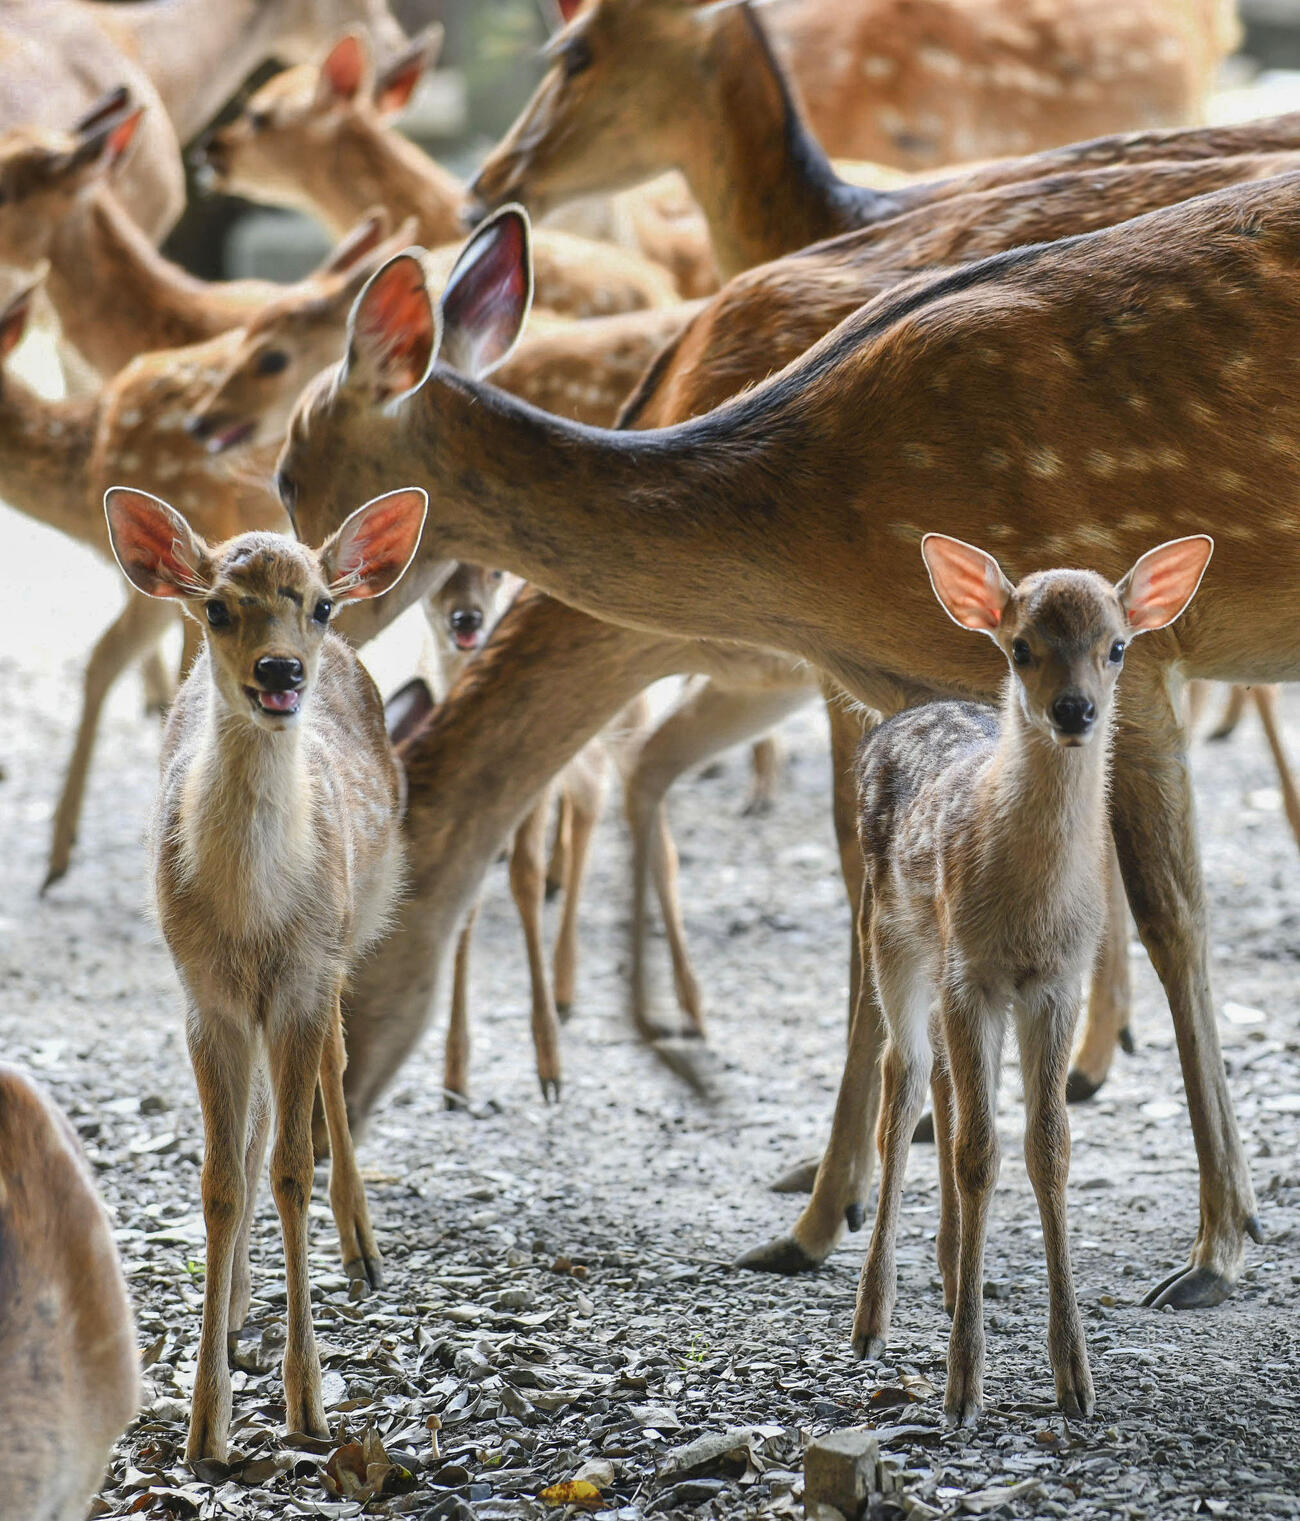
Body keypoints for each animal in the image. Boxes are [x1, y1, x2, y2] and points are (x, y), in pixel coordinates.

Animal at [103, 483, 426, 1462]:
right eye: (215, 607)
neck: (252, 917)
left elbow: (290, 1168)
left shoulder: (303, 975)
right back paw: (245, 1300)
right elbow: (219, 1179)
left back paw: (362, 1249)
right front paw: (204, 1425)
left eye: (316, 605)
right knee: (248, 1133)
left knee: (332, 1067)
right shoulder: (203, 995)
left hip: (356, 924)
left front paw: (308, 1405)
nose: (280, 670)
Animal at [277, 179, 1300, 1324]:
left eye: (288, 470)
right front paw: (821, 1225)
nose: (312, 1130)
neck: (820, 536)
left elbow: (1178, 922)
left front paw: (1220, 1242)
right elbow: (880, 927)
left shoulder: (1140, 663)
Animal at [854, 533, 1212, 1424]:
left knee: (941, 1087)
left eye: (1116, 646)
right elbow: (980, 1150)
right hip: (891, 934)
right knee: (904, 1082)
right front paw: (961, 1389)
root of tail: (892, 722)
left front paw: (1075, 1379)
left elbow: (1048, 1146)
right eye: (1020, 647)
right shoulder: (970, 973)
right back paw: (872, 1319)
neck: (1028, 909)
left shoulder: (1056, 982)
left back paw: (953, 1277)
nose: (1075, 710)